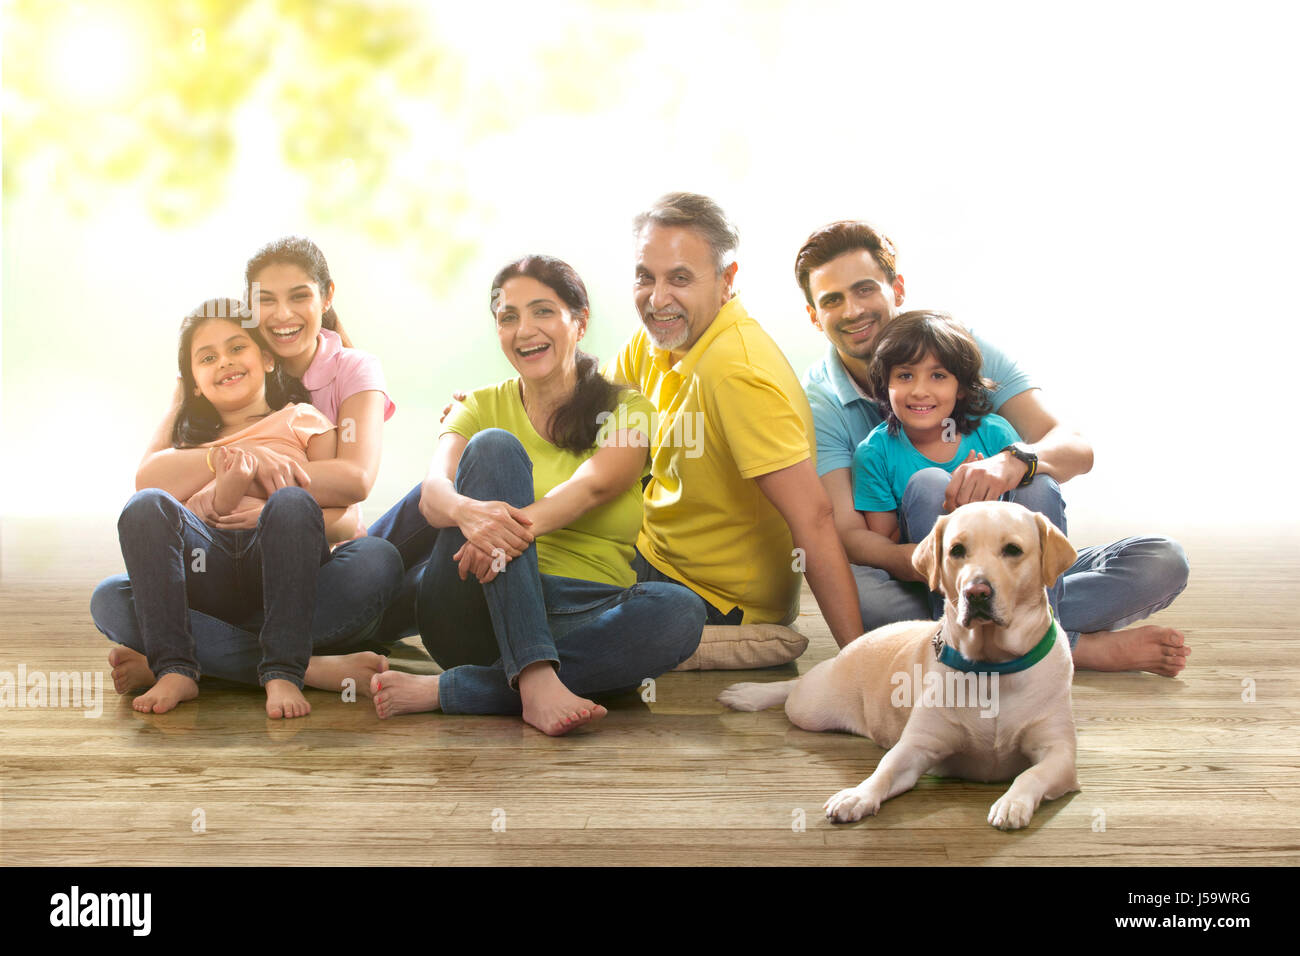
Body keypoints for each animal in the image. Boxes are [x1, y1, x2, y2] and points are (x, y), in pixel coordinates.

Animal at [722, 502, 1076, 832]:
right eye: (957, 550)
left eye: (1013, 550)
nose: (976, 592)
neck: (992, 668)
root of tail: (852, 646)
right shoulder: (917, 746)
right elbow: (886, 768)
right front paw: (857, 796)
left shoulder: (1060, 753)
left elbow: (1031, 775)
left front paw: (1012, 803)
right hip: (810, 707)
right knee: (795, 686)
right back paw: (749, 694)